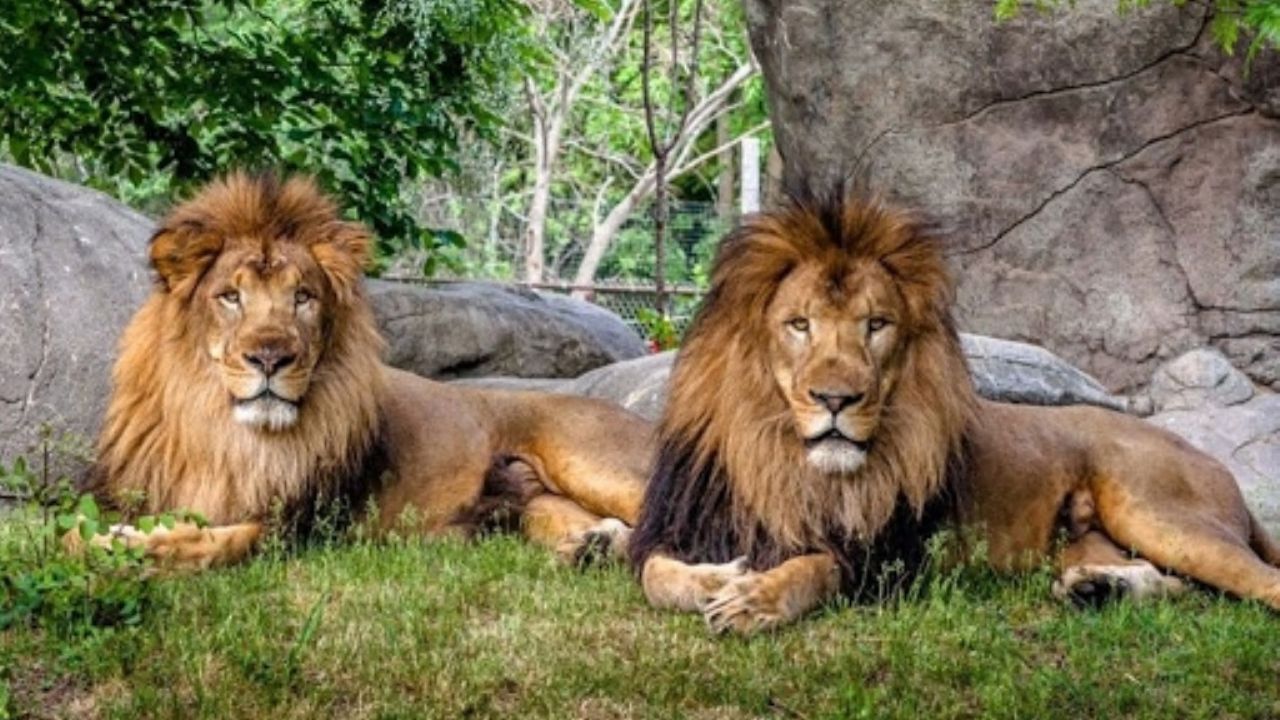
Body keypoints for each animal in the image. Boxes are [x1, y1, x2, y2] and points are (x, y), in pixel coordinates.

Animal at [80, 172, 650, 570]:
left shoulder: (304, 527)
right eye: (230, 297)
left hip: (592, 462)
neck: (227, 433)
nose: (270, 358)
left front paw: (134, 550)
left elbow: (223, 543)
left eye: (302, 297)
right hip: (539, 506)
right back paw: (595, 547)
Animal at [629, 193, 1280, 634]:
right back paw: (1098, 590)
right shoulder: (677, 526)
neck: (783, 459)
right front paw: (719, 578)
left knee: (1256, 583)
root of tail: (1214, 463)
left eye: (876, 325)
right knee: (1185, 590)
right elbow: (655, 575)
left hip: (1160, 512)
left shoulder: (890, 560)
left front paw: (755, 599)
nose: (837, 399)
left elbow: (817, 566)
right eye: (799, 324)